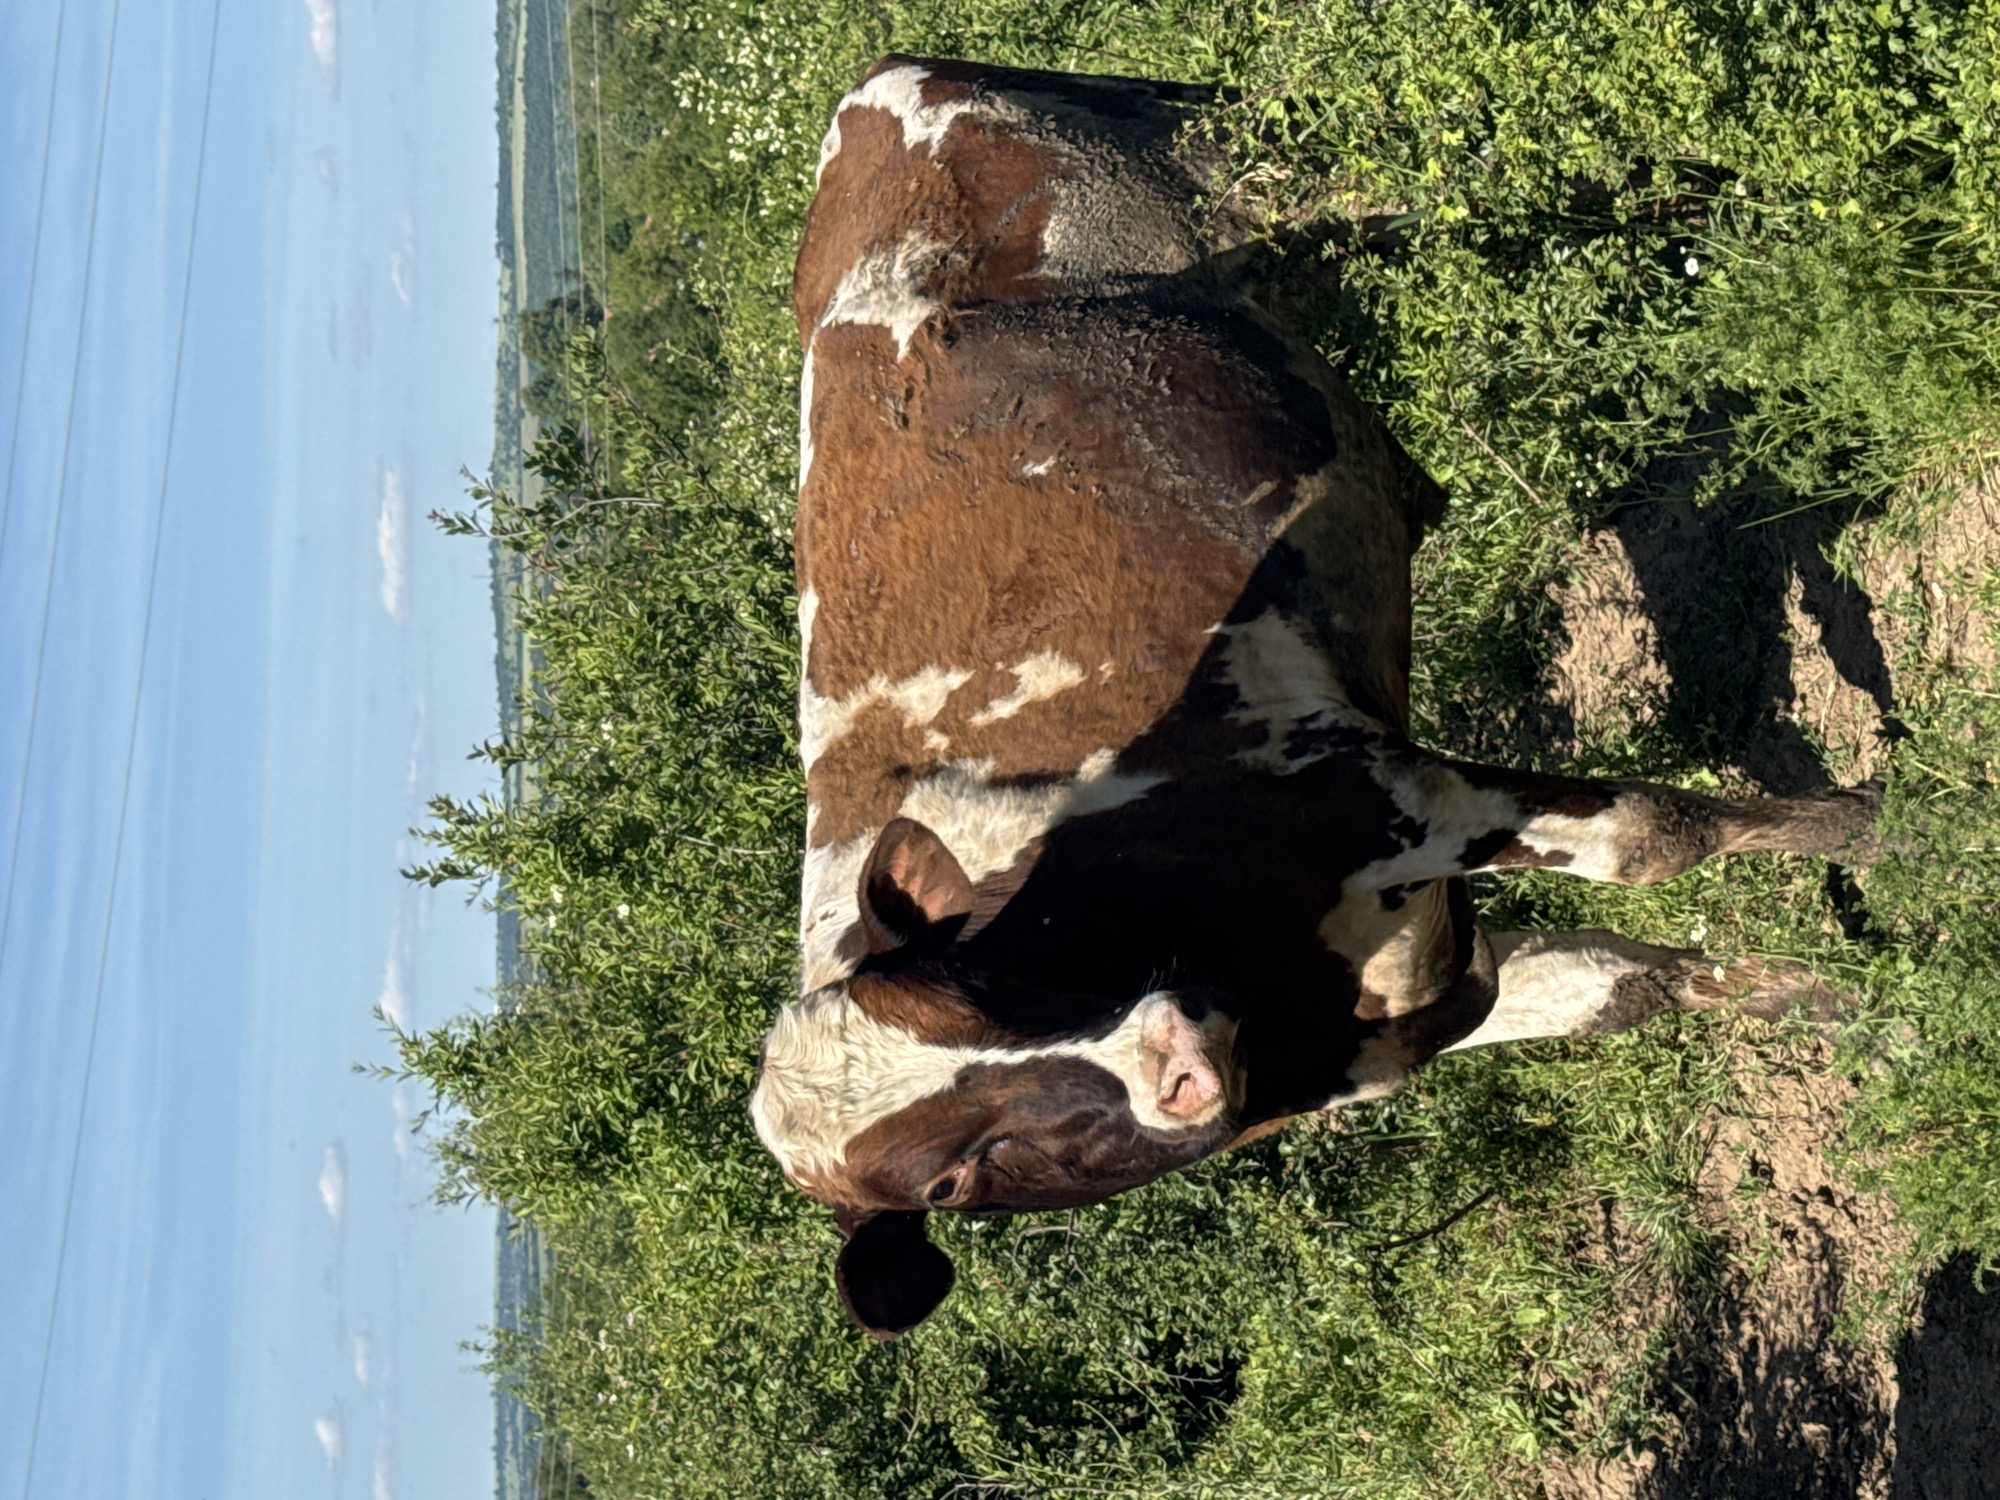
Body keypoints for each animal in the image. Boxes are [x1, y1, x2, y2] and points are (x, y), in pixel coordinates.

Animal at [752, 56, 1880, 1339]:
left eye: (975, 993)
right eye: (948, 1179)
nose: (1173, 1059)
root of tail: (873, 91)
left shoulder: (1370, 780)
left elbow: (1652, 837)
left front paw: (1885, 831)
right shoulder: (1426, 996)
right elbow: (1619, 985)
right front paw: (1832, 1005)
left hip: (1265, 165)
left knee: (1471, 154)